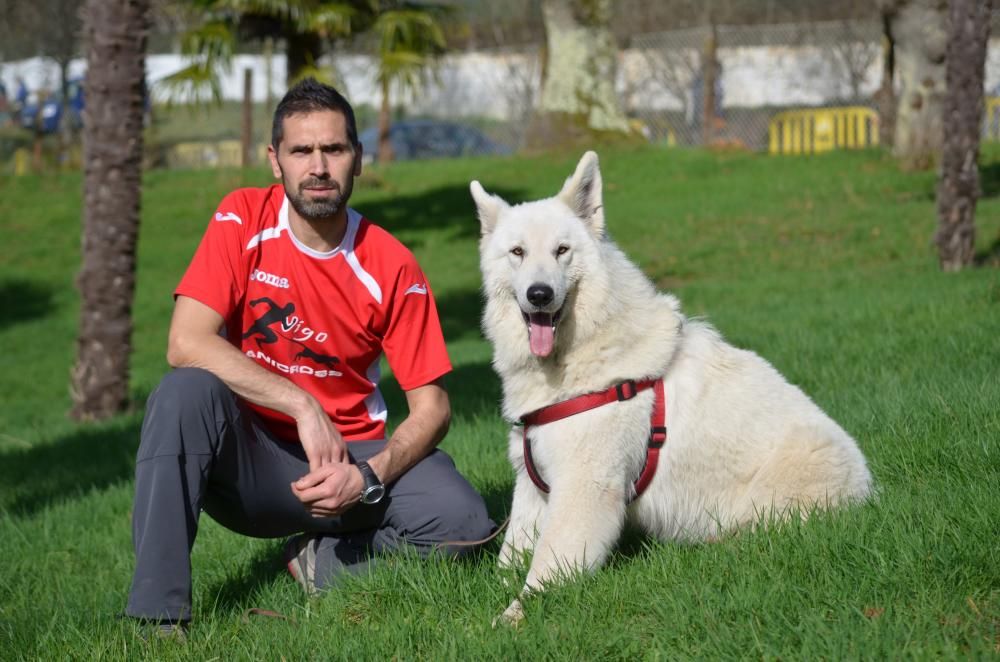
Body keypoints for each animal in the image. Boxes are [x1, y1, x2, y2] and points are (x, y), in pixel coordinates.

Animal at [468, 152, 868, 628]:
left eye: (562, 251)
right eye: (518, 253)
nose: (540, 294)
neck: (578, 355)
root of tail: (868, 488)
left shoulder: (584, 490)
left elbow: (541, 574)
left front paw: (509, 619)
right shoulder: (533, 486)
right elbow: (509, 560)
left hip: (772, 499)